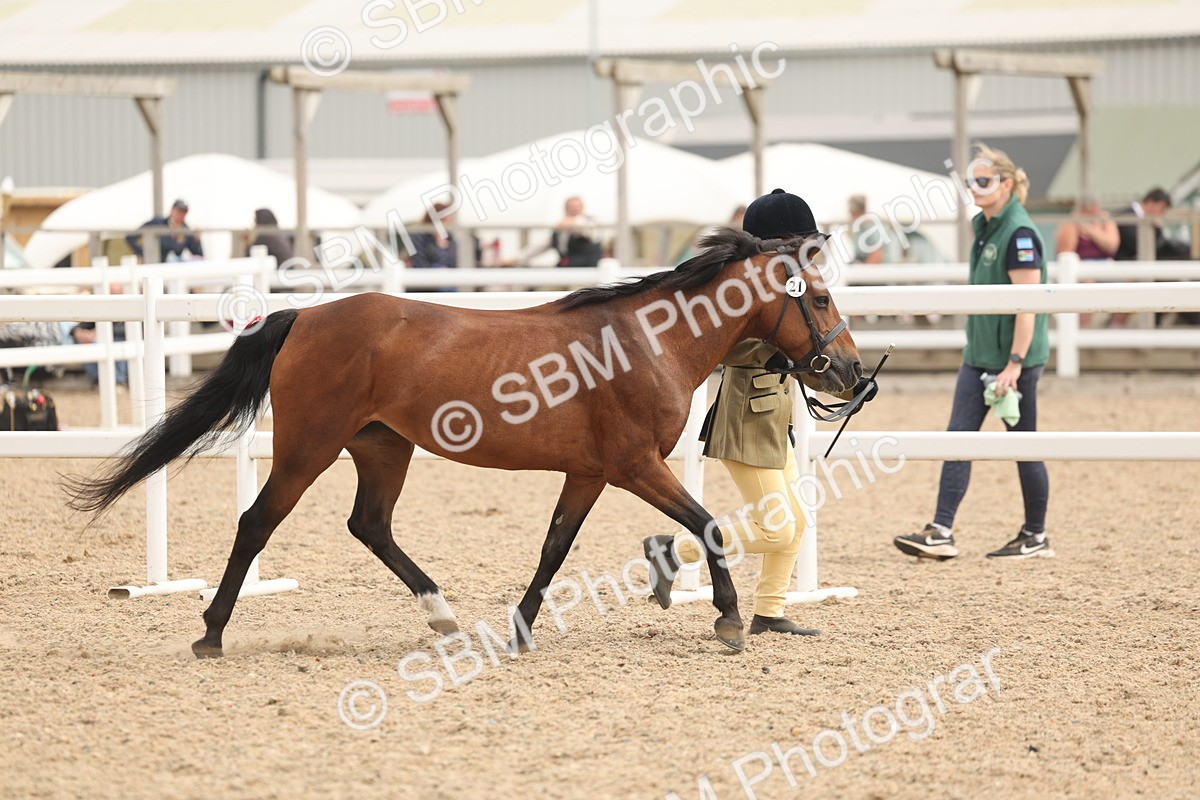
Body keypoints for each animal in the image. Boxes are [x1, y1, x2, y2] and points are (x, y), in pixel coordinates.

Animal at [67, 229, 862, 658]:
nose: (852, 373)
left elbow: (554, 547)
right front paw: (728, 620)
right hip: (307, 449)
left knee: (370, 525)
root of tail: (304, 317)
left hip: (382, 449)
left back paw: (442, 614)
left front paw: (521, 631)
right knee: (257, 523)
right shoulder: (636, 466)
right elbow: (708, 525)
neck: (647, 340)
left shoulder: (590, 473)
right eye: (820, 298)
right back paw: (211, 633)